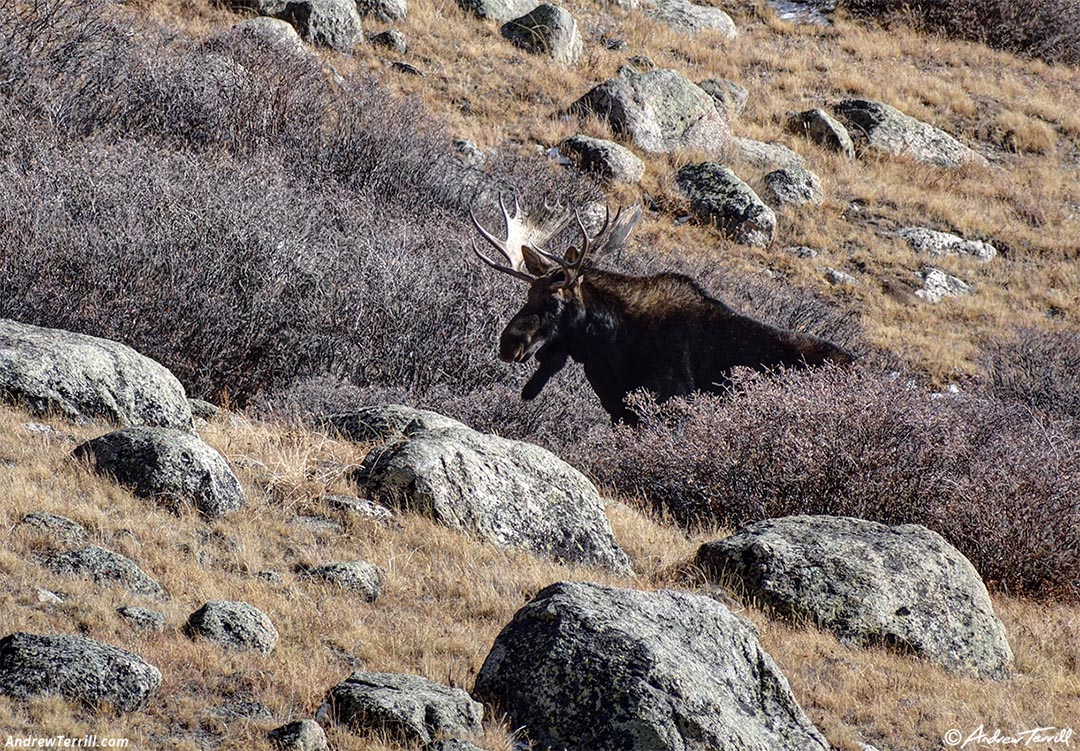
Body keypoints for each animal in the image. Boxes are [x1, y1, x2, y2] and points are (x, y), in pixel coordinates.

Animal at [468, 199, 855, 423]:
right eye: (528, 293)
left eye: (552, 300)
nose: (509, 342)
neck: (608, 347)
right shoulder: (621, 411)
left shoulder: (672, 401)